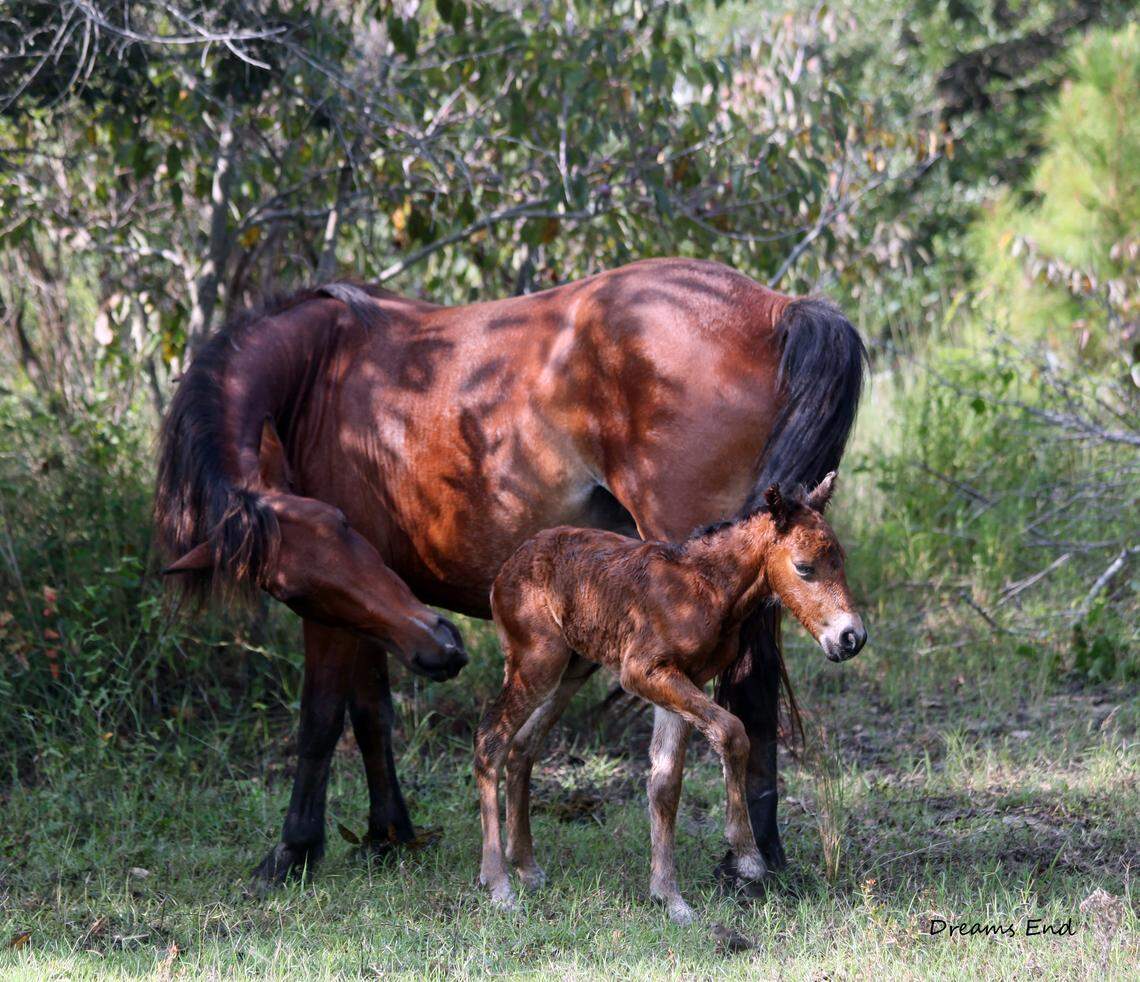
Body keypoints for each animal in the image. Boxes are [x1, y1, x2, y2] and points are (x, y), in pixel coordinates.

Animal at [475, 473, 865, 923]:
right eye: (804, 567)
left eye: (842, 560)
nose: (852, 638)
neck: (707, 589)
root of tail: (506, 570)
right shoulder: (642, 671)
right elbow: (732, 732)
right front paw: (748, 857)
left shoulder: (679, 680)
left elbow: (664, 785)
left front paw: (669, 897)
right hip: (537, 663)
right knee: (490, 740)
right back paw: (498, 882)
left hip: (570, 670)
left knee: (523, 746)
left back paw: (525, 865)